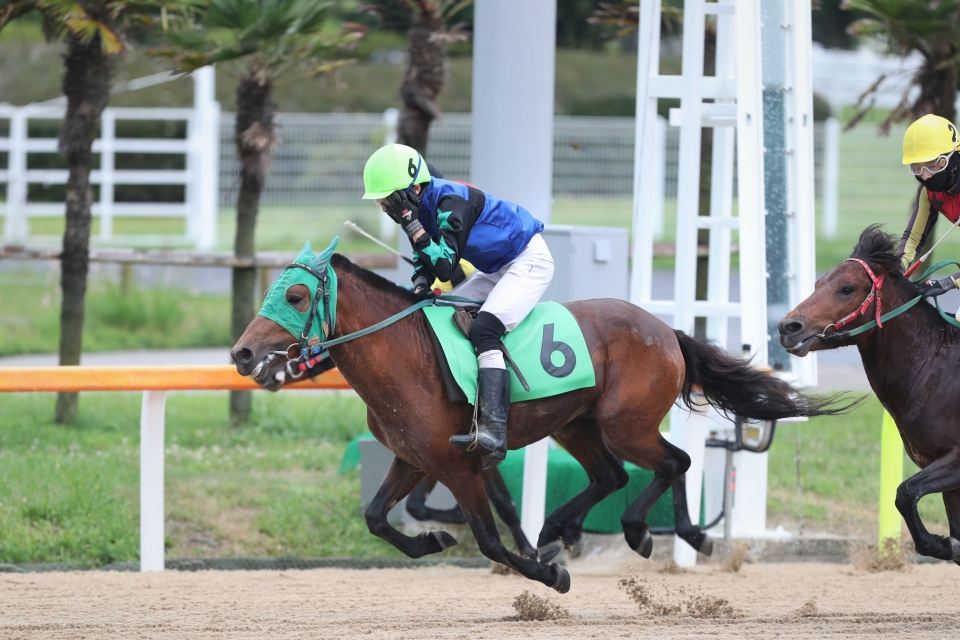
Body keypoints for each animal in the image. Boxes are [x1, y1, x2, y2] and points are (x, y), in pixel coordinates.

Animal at [236, 246, 844, 592]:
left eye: (295, 295)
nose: (242, 354)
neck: (407, 354)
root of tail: (666, 330)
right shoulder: (415, 459)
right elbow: (377, 518)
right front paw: (433, 539)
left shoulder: (462, 466)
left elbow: (491, 538)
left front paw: (545, 572)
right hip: (576, 424)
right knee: (613, 475)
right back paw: (564, 529)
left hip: (626, 423)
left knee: (674, 460)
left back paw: (655, 532)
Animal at [780, 226, 960, 564]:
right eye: (818, 284)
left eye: (847, 289)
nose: (788, 327)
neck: (935, 369)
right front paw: (947, 544)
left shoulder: (955, 460)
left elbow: (904, 493)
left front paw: (941, 544)